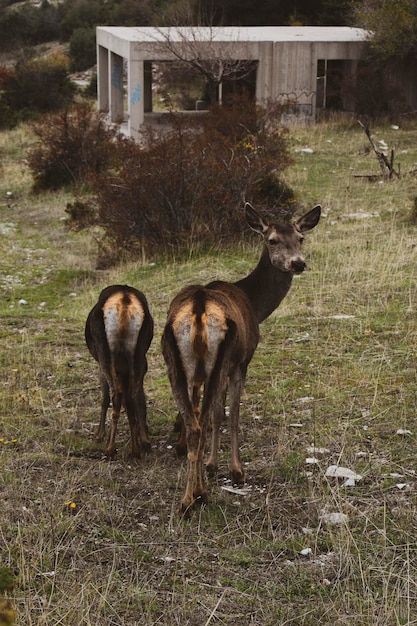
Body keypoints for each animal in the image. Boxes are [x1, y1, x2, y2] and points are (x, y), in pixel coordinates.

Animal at [85, 286, 154, 456]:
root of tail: (125, 301)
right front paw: (142, 438)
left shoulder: (101, 366)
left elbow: (104, 399)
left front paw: (99, 435)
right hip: (138, 354)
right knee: (132, 396)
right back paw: (136, 448)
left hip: (105, 354)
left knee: (117, 395)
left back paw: (110, 448)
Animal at [161, 202, 320, 516]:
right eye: (271, 240)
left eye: (301, 238)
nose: (298, 263)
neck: (255, 305)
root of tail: (199, 308)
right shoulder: (241, 362)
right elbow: (229, 414)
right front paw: (230, 469)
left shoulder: (198, 375)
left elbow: (207, 413)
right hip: (221, 360)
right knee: (208, 419)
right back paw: (199, 494)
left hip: (175, 361)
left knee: (194, 423)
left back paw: (187, 499)